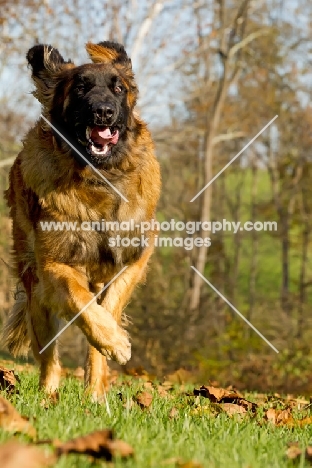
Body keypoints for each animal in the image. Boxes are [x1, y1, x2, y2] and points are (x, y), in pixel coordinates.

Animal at [3, 41, 161, 398]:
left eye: (119, 89)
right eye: (80, 88)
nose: (103, 111)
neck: (97, 178)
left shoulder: (135, 256)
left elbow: (108, 307)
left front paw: (112, 342)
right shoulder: (54, 265)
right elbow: (83, 302)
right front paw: (115, 341)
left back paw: (95, 393)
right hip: (36, 290)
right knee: (49, 357)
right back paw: (48, 397)